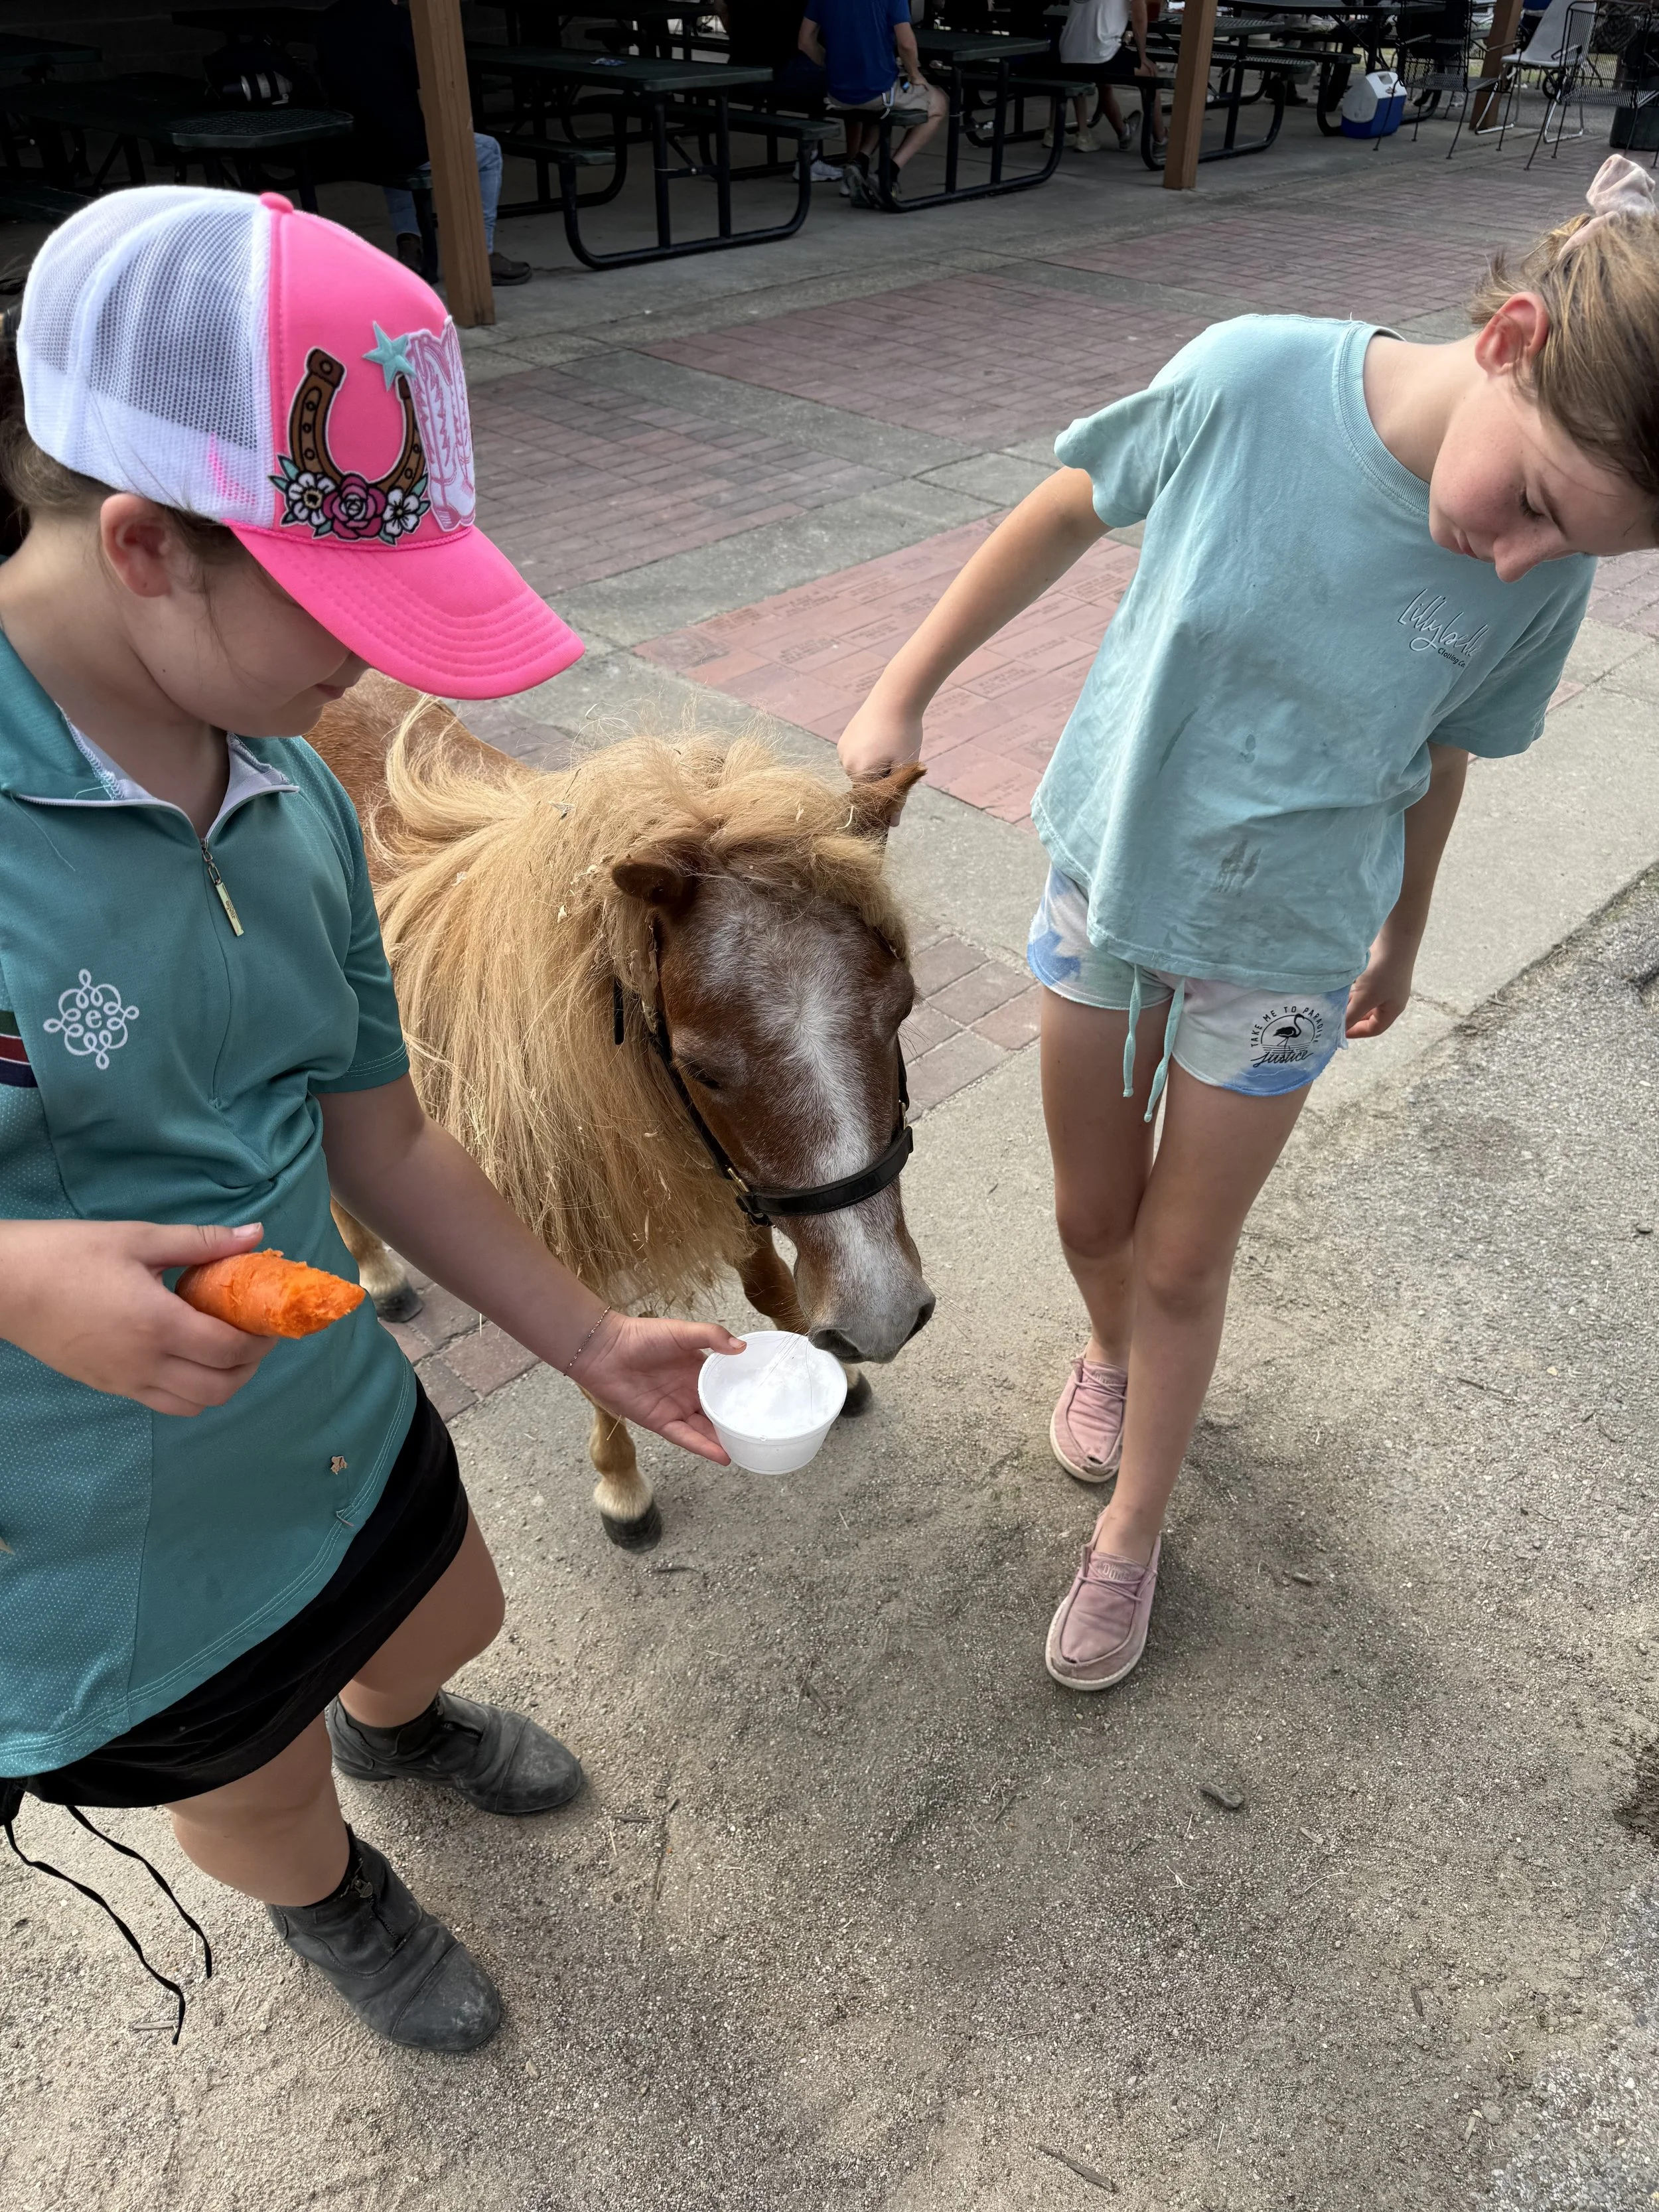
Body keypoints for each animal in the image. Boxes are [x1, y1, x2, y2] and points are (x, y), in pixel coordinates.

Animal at [310, 675, 934, 1549]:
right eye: (702, 1069)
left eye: (902, 1010)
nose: (881, 1315)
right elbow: (597, 1355)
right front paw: (621, 1482)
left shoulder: (723, 1167)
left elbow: (770, 1285)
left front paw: (827, 1372)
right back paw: (376, 1268)